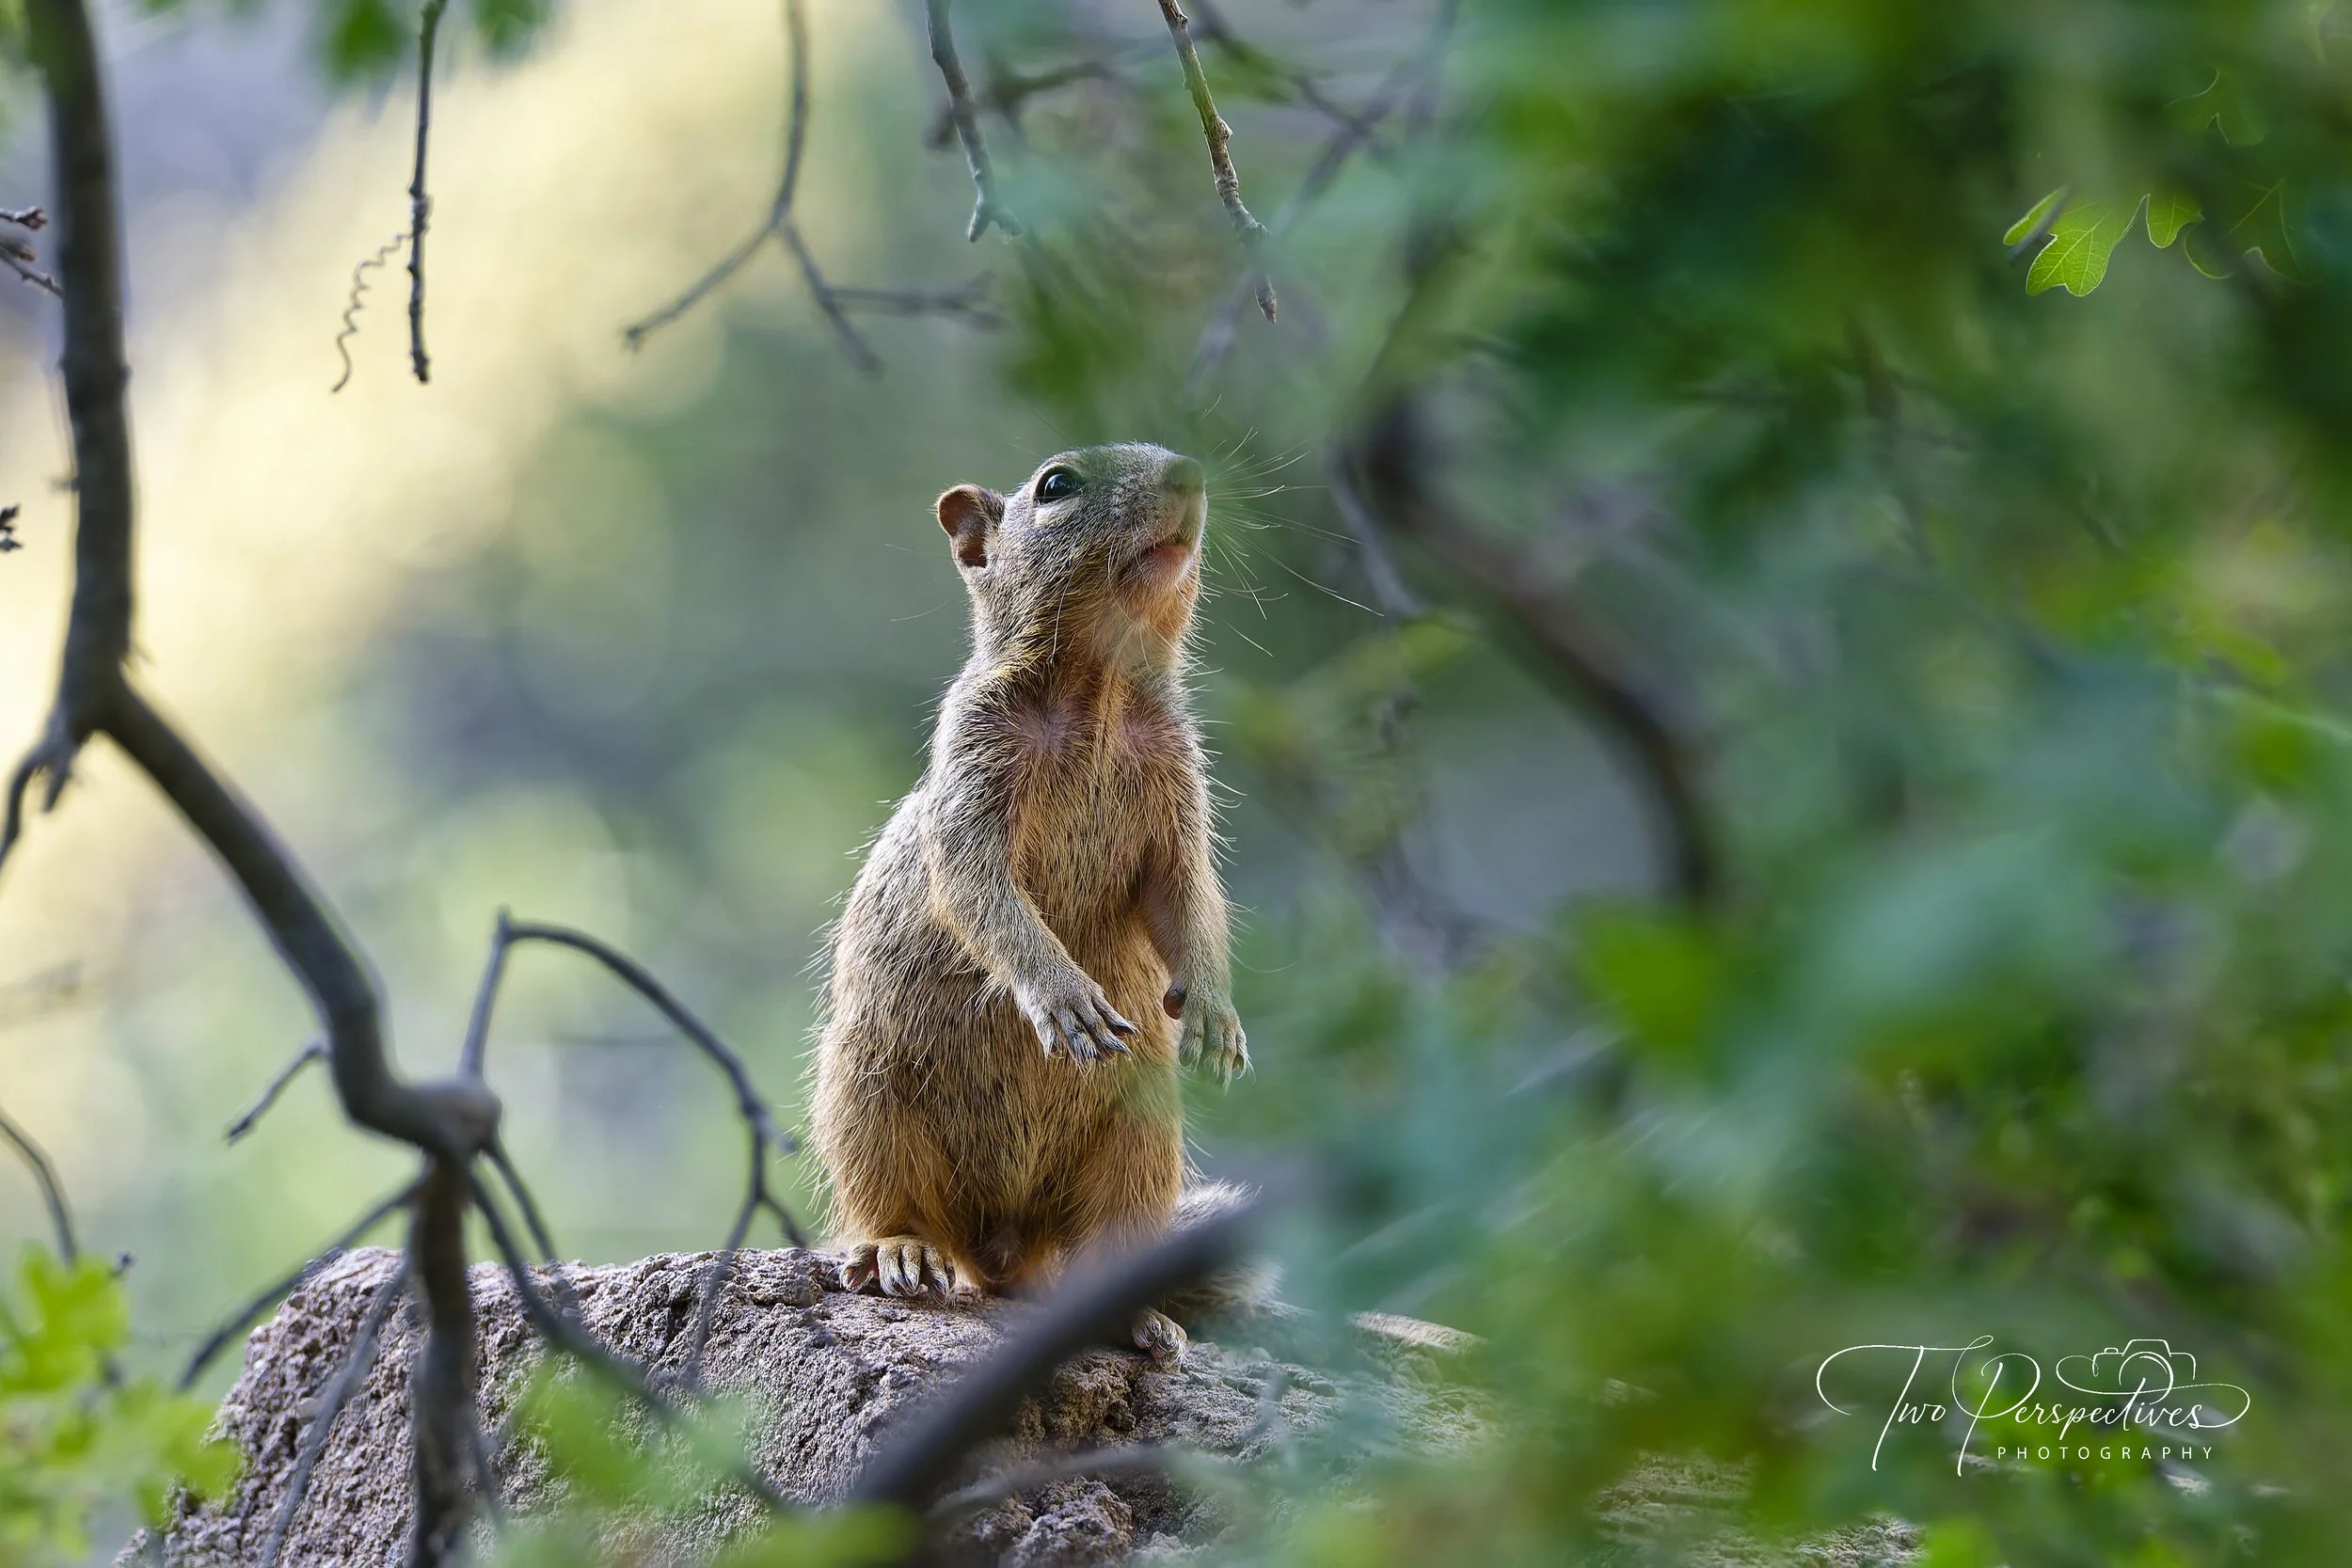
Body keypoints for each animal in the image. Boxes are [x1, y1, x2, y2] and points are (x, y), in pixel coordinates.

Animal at [808, 442, 1249, 1362]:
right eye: (1057, 485)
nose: (1189, 474)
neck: (1100, 690)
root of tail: (1005, 1250)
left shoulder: (1180, 805)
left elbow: (1190, 901)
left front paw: (1215, 1011)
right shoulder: (972, 770)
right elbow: (980, 891)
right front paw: (1064, 994)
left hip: (1142, 1139)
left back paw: (1131, 1315)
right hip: (867, 1093)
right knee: (887, 1209)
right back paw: (902, 1252)